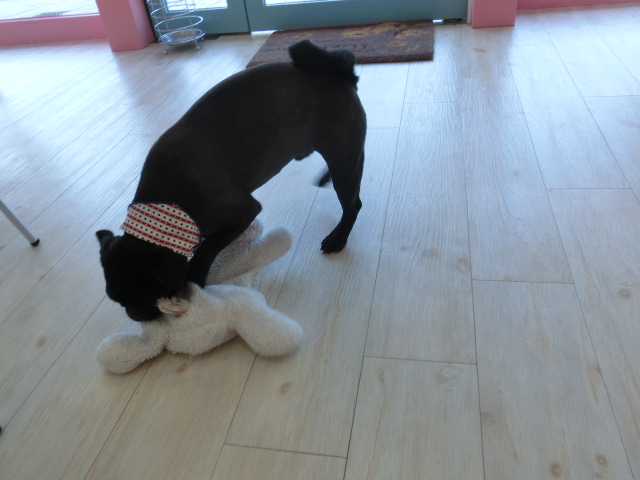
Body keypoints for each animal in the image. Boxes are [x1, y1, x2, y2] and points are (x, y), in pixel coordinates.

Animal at [96, 40, 366, 322]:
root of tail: (341, 75)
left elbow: (206, 249)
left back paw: (338, 238)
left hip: (343, 160)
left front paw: (195, 279)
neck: (168, 202)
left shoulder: (242, 212)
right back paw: (324, 179)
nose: (135, 315)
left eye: (145, 293)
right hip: (341, 156)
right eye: (118, 300)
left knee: (352, 205)